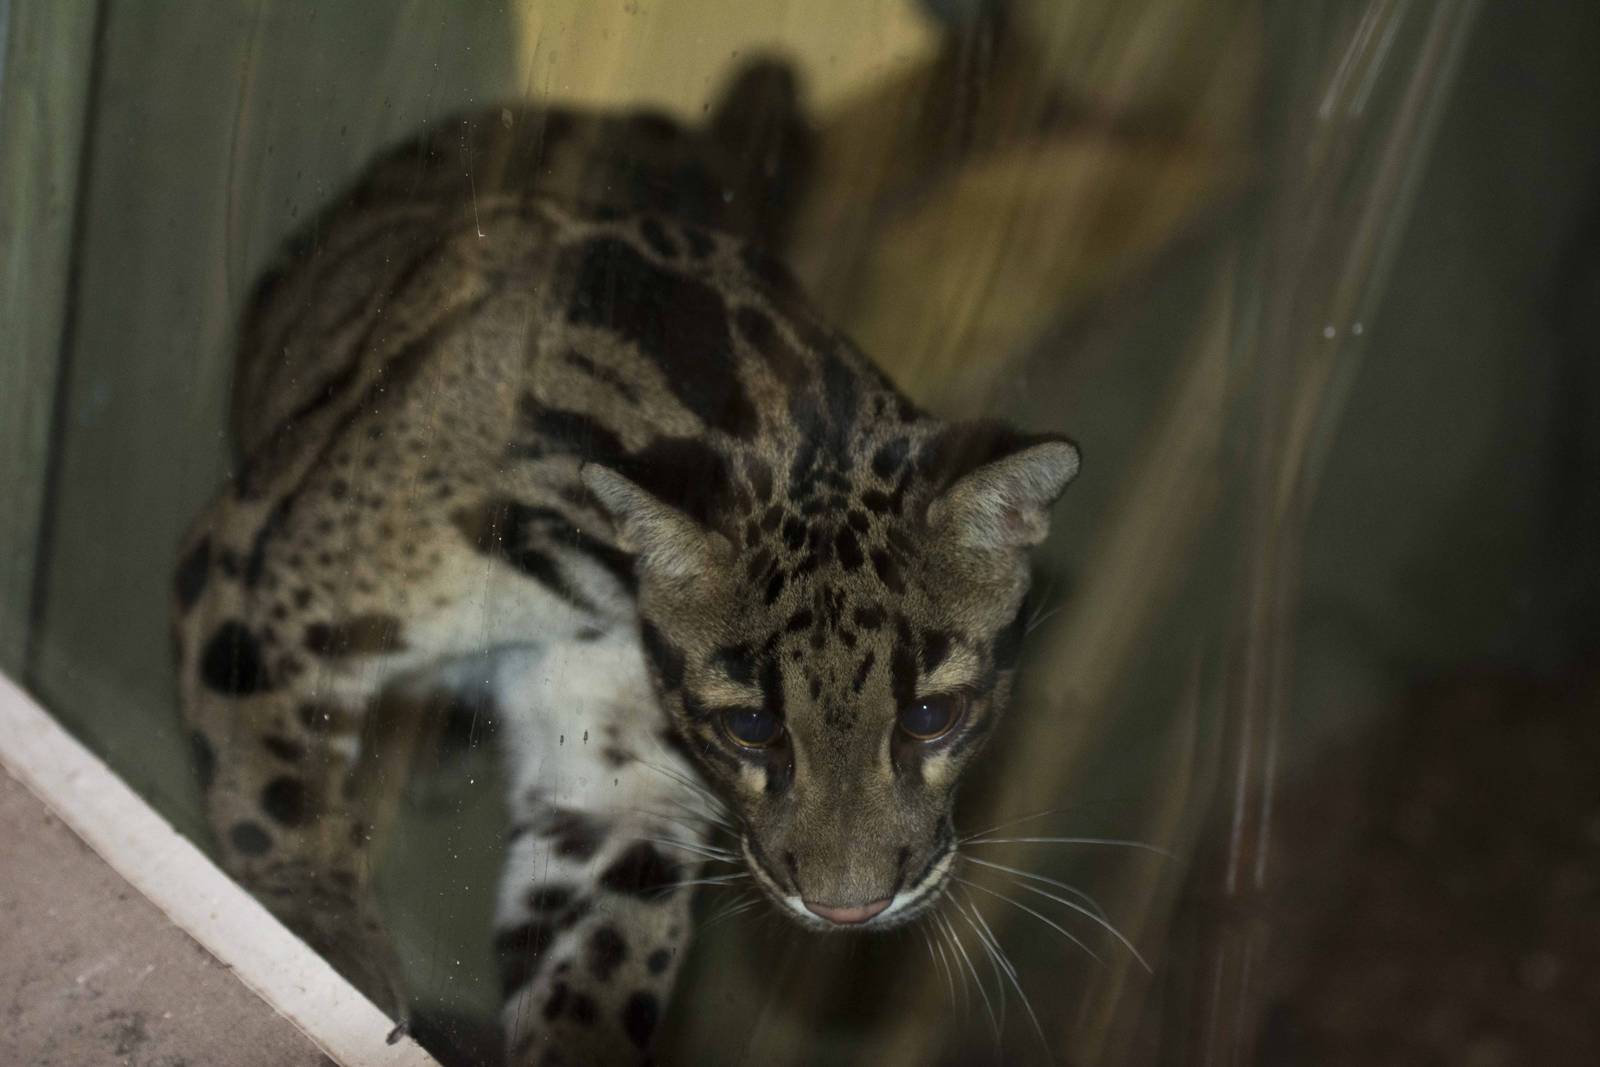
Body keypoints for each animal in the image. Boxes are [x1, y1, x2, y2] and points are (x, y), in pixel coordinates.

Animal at [171, 60, 1079, 1065]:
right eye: (752, 727)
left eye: (932, 715)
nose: (850, 907)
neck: (587, 589)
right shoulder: (262, 570)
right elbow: (274, 785)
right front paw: (322, 942)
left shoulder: (616, 778)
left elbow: (603, 944)